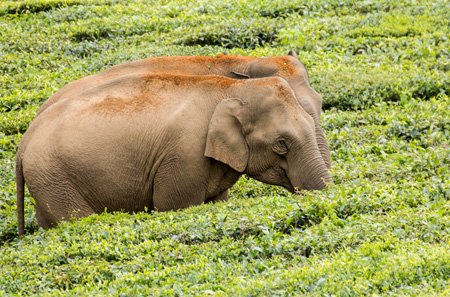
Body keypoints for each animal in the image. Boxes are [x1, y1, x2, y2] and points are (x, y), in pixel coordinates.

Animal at [14, 73, 330, 234]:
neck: (232, 88)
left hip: (48, 182)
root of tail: (25, 140)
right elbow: (176, 206)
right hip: (56, 178)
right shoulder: (183, 157)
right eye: (282, 144)